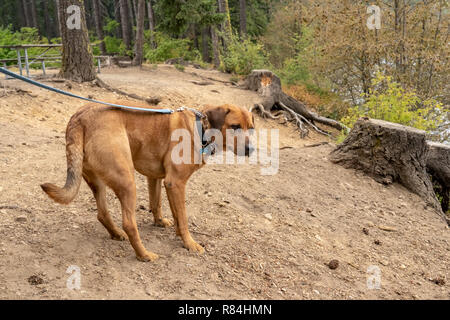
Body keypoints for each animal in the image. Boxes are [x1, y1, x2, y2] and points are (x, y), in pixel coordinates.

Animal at [40, 104, 255, 262]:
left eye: (251, 129)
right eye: (235, 126)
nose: (251, 149)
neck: (200, 128)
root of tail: (79, 117)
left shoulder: (159, 179)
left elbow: (159, 205)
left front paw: (163, 224)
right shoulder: (176, 183)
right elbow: (183, 218)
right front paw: (189, 243)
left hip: (97, 180)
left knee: (102, 214)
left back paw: (116, 233)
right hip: (127, 181)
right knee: (129, 224)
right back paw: (144, 255)